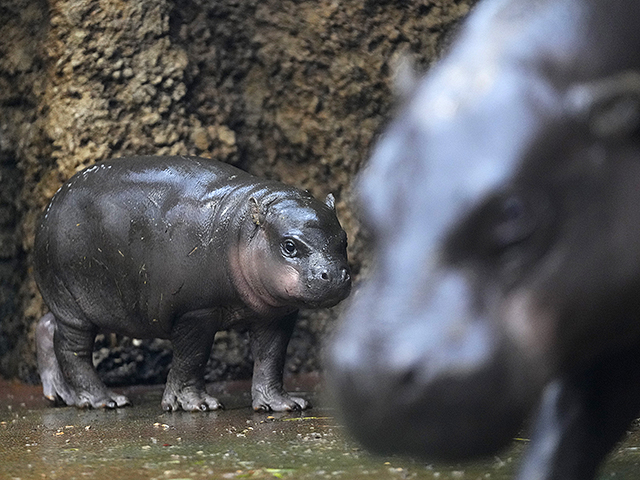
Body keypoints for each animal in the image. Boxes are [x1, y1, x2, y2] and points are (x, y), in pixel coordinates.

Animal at [35, 157, 350, 412]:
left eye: (344, 239)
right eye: (289, 246)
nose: (335, 275)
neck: (240, 230)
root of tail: (49, 207)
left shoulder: (276, 313)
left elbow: (271, 358)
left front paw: (283, 404)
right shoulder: (196, 311)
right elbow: (192, 357)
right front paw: (197, 405)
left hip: (75, 303)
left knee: (47, 326)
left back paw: (61, 396)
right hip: (74, 302)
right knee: (73, 350)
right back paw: (105, 400)